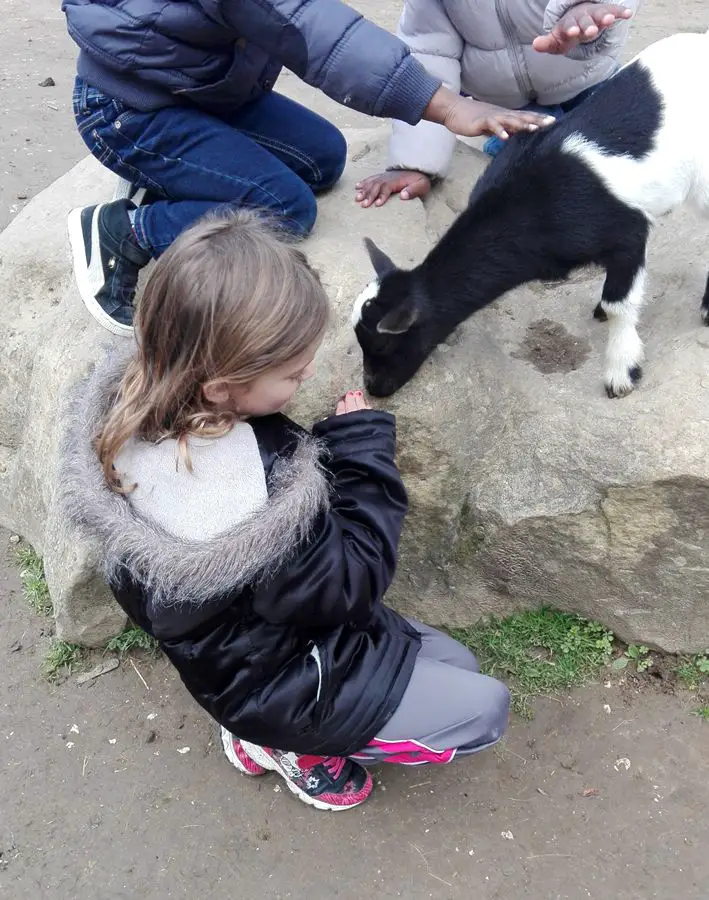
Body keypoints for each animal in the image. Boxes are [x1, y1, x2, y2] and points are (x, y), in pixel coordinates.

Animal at [352, 31, 708, 398]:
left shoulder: (627, 233)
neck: (532, 208)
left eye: (383, 344)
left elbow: (618, 306)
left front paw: (621, 372)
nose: (374, 388)